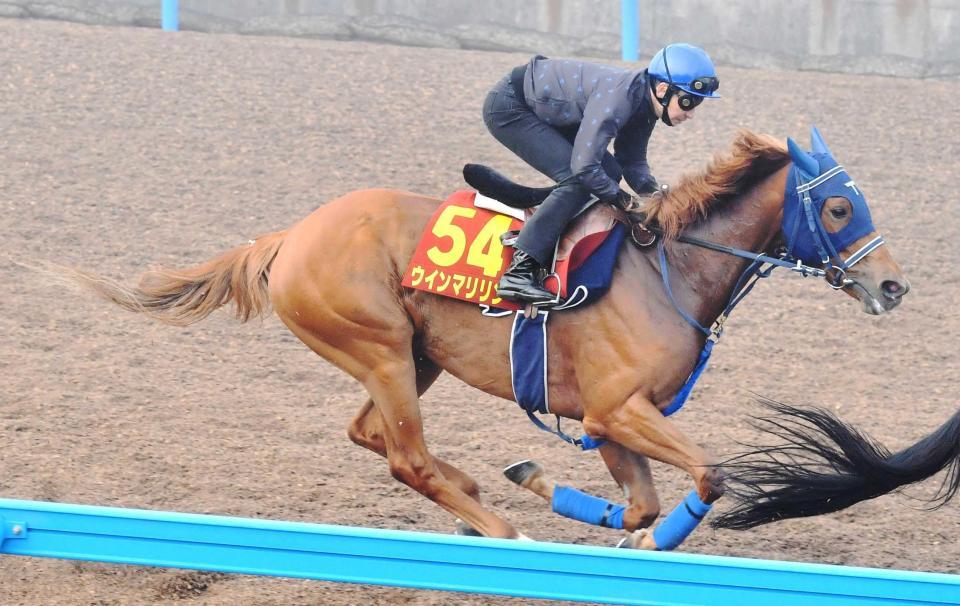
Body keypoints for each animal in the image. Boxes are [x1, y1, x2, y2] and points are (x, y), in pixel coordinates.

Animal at [58, 128, 952, 552]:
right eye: (838, 208)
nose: (892, 285)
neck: (670, 266)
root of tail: (287, 236)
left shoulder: (601, 421)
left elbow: (638, 501)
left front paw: (563, 496)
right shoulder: (619, 410)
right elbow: (707, 476)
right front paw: (645, 539)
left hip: (410, 359)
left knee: (371, 435)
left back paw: (476, 498)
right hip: (380, 346)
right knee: (404, 456)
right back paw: (496, 528)